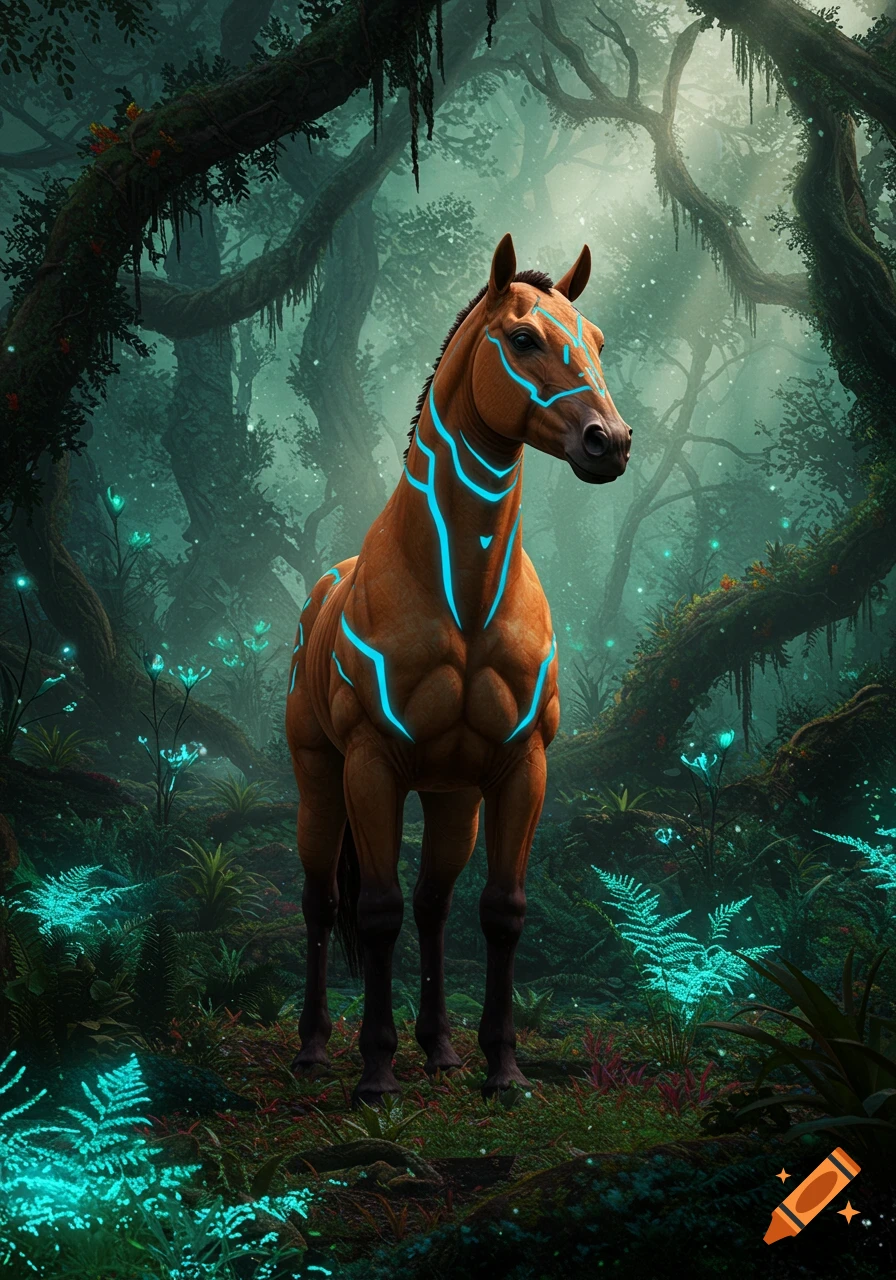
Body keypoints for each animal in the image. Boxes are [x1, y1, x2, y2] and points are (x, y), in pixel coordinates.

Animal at [286, 233, 631, 1105]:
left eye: (598, 339)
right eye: (523, 339)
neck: (462, 595)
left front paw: (502, 1068)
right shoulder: (371, 762)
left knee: (436, 905)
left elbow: (500, 911)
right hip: (318, 776)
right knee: (320, 901)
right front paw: (375, 1075)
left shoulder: (519, 766)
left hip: (449, 799)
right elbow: (376, 910)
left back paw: (439, 1049)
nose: (609, 443)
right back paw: (313, 1049)